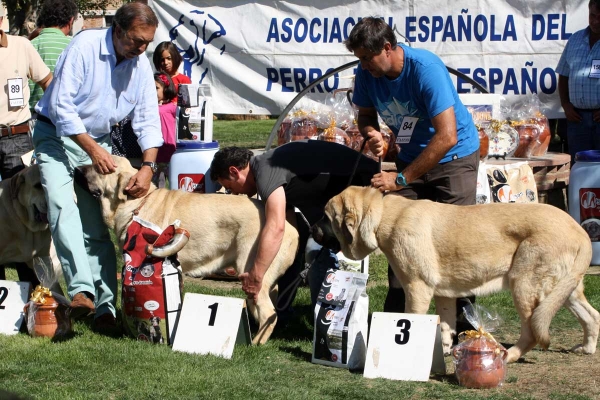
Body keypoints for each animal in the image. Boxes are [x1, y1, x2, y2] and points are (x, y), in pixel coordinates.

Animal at [75, 155, 300, 344]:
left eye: (98, 167)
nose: (77, 169)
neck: (136, 203)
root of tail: (291, 229)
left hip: (252, 272)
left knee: (269, 313)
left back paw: (255, 344)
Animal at [314, 186, 600, 360]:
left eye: (326, 217)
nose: (312, 229)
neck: (384, 217)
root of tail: (579, 230)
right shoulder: (444, 294)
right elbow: (445, 327)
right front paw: (442, 352)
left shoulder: (417, 287)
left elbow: (411, 320)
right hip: (563, 289)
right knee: (591, 316)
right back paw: (586, 348)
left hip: (524, 284)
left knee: (531, 330)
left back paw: (510, 356)